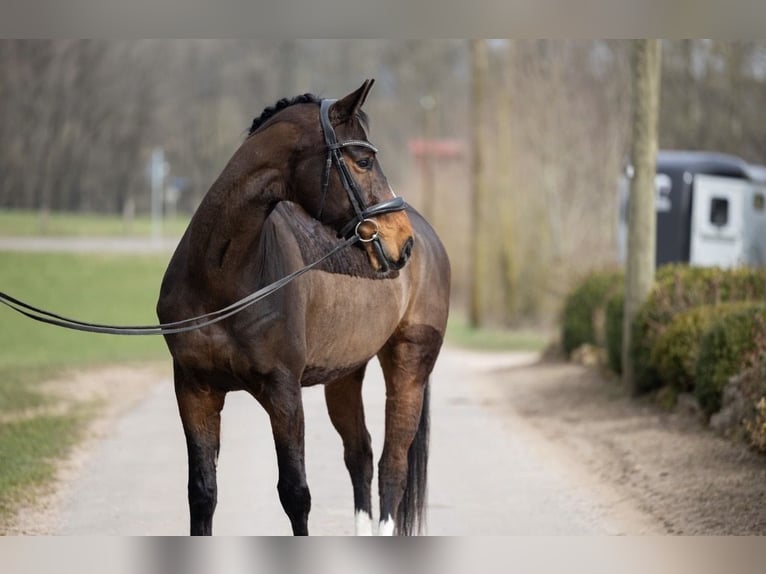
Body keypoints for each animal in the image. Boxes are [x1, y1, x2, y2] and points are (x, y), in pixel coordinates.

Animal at [156, 80, 450, 536]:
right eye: (364, 160)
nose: (401, 242)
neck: (222, 278)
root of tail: (429, 236)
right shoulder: (194, 389)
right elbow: (202, 493)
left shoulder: (283, 393)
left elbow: (295, 494)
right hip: (345, 374)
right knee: (360, 456)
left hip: (409, 367)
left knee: (393, 467)